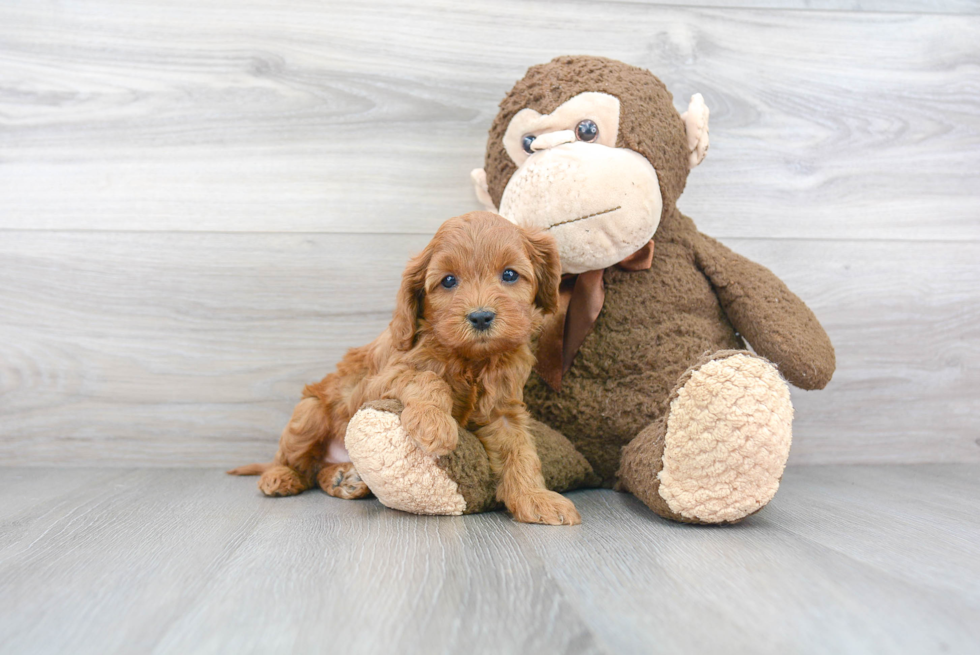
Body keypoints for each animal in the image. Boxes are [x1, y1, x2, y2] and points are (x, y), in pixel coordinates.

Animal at [230, 213, 580, 524]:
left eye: (509, 275)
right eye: (448, 280)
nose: (481, 316)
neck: (469, 357)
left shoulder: (504, 409)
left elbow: (520, 451)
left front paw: (535, 498)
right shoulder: (376, 381)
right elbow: (428, 377)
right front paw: (434, 422)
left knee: (318, 472)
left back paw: (344, 479)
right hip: (309, 414)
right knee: (293, 460)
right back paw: (279, 477)